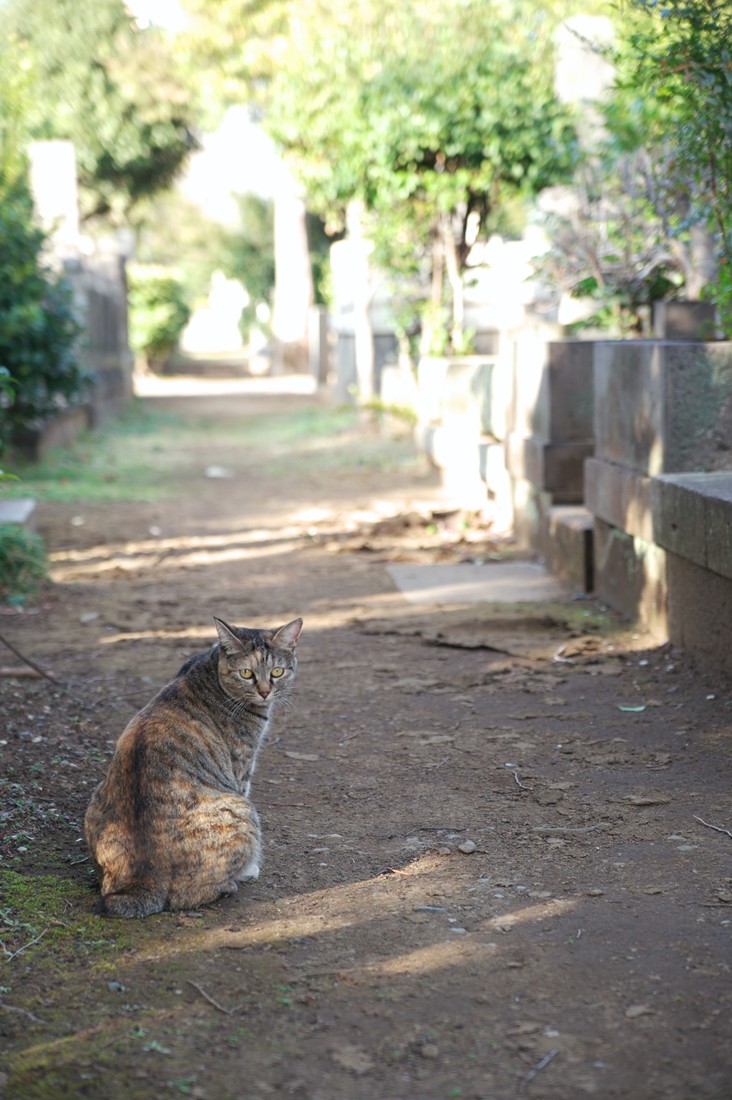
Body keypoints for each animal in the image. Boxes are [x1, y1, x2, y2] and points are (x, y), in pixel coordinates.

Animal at [84, 620, 301, 919]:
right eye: (246, 673)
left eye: (277, 671)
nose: (265, 691)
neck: (211, 667)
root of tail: (143, 881)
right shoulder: (242, 771)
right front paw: (251, 868)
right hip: (242, 811)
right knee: (186, 896)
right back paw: (232, 883)